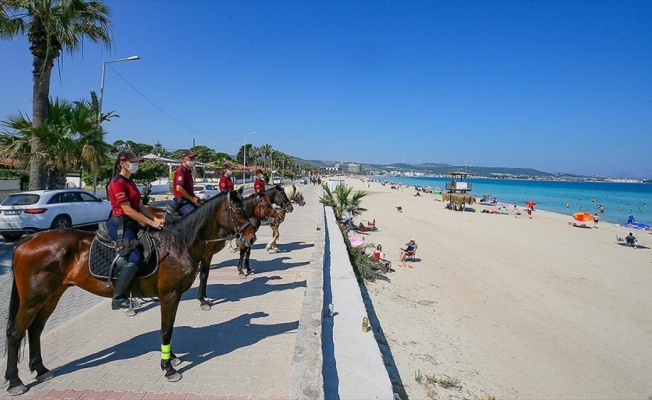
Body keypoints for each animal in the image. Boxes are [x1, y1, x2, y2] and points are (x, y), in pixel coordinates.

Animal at [5, 191, 260, 396]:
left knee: (35, 330)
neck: (177, 245)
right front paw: (168, 368)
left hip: (51, 296)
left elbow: (169, 328)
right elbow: (166, 330)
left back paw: (40, 369)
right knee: (16, 333)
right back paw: (15, 381)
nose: (252, 237)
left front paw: (171, 357)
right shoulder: (169, 294)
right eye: (239, 210)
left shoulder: (174, 295)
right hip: (32, 299)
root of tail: (26, 241)